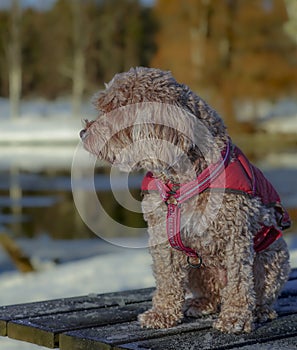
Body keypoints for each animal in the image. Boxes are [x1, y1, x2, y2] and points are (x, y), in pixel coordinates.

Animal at [79, 67, 290, 332]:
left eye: (114, 110)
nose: (82, 133)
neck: (179, 182)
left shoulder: (236, 235)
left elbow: (240, 281)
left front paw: (235, 319)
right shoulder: (162, 235)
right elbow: (167, 278)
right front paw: (162, 313)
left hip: (273, 258)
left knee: (257, 291)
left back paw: (260, 310)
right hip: (198, 270)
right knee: (212, 294)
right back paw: (200, 303)